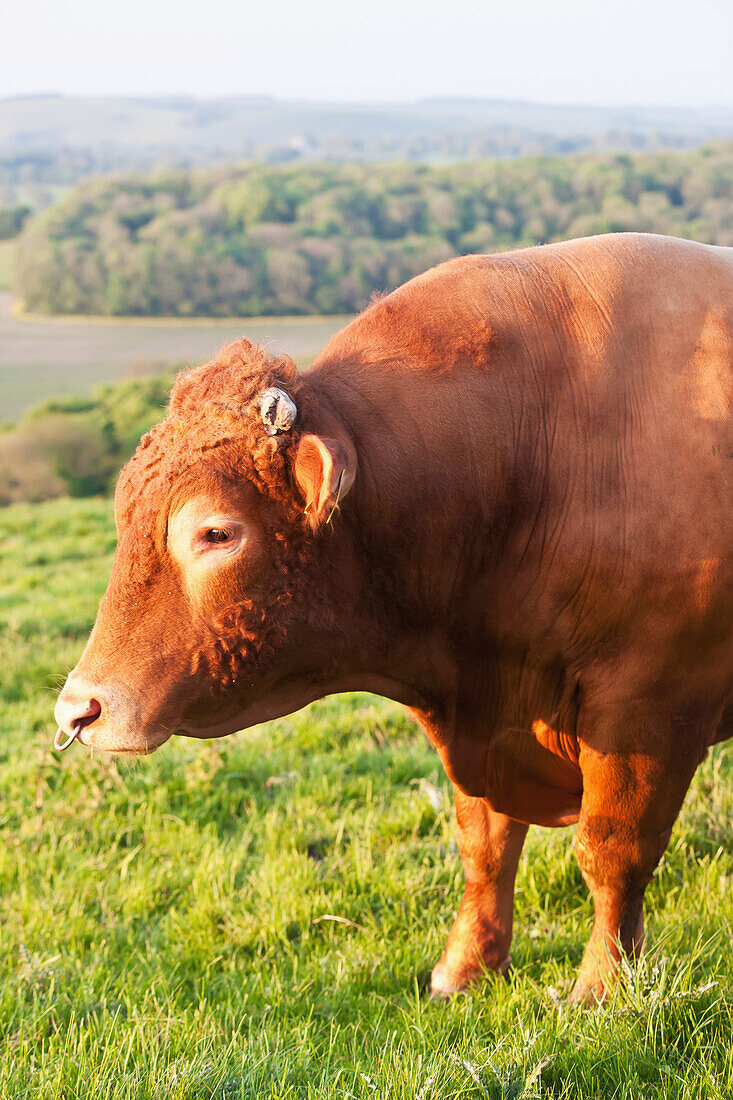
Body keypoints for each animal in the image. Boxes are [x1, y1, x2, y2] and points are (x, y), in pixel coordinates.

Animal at [54, 234, 730, 1007]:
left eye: (215, 533)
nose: (77, 711)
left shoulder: (649, 705)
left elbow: (610, 853)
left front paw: (600, 990)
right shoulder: (482, 721)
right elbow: (484, 845)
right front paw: (464, 968)